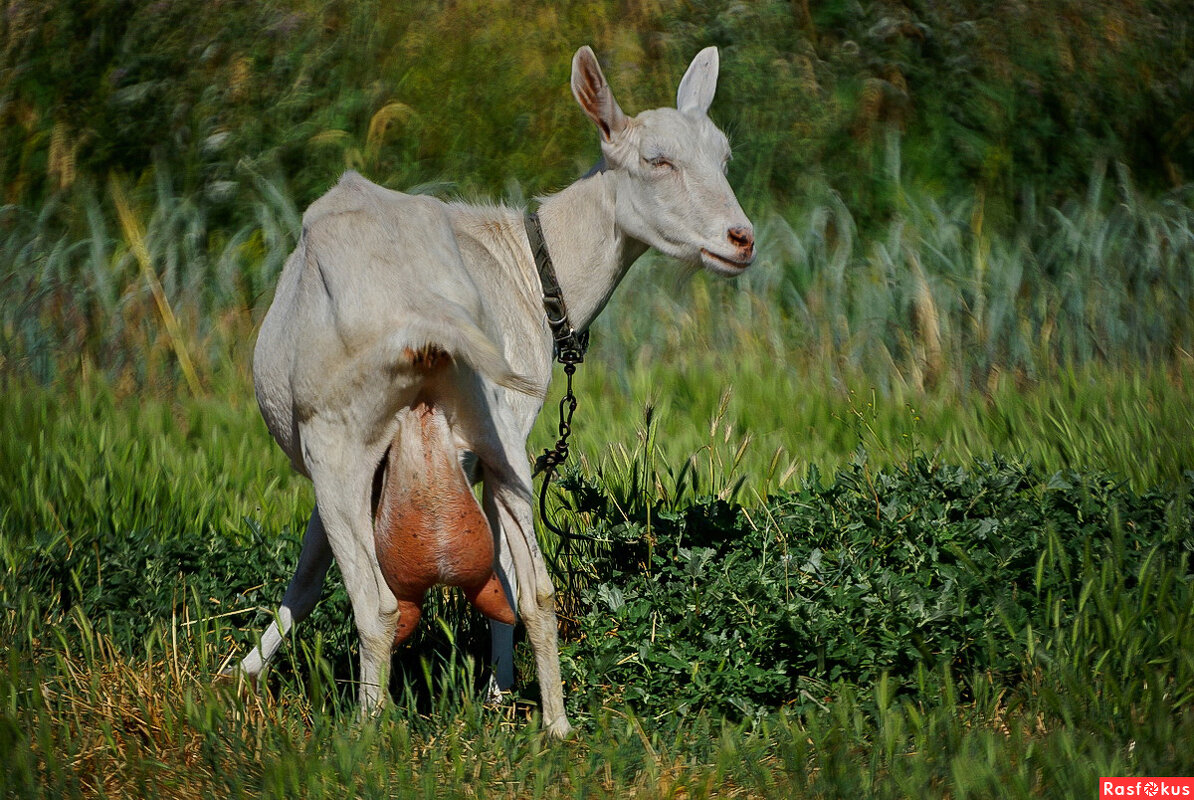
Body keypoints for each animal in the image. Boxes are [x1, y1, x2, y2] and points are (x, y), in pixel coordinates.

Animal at [231, 40, 749, 735]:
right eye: (657, 160)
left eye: (723, 157)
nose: (742, 240)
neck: (528, 266)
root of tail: (426, 312)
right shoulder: (495, 444)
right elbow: (503, 573)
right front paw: (500, 692)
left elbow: (309, 573)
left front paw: (238, 676)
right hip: (499, 436)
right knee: (537, 589)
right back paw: (556, 726)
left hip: (336, 437)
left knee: (376, 606)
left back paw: (366, 732)